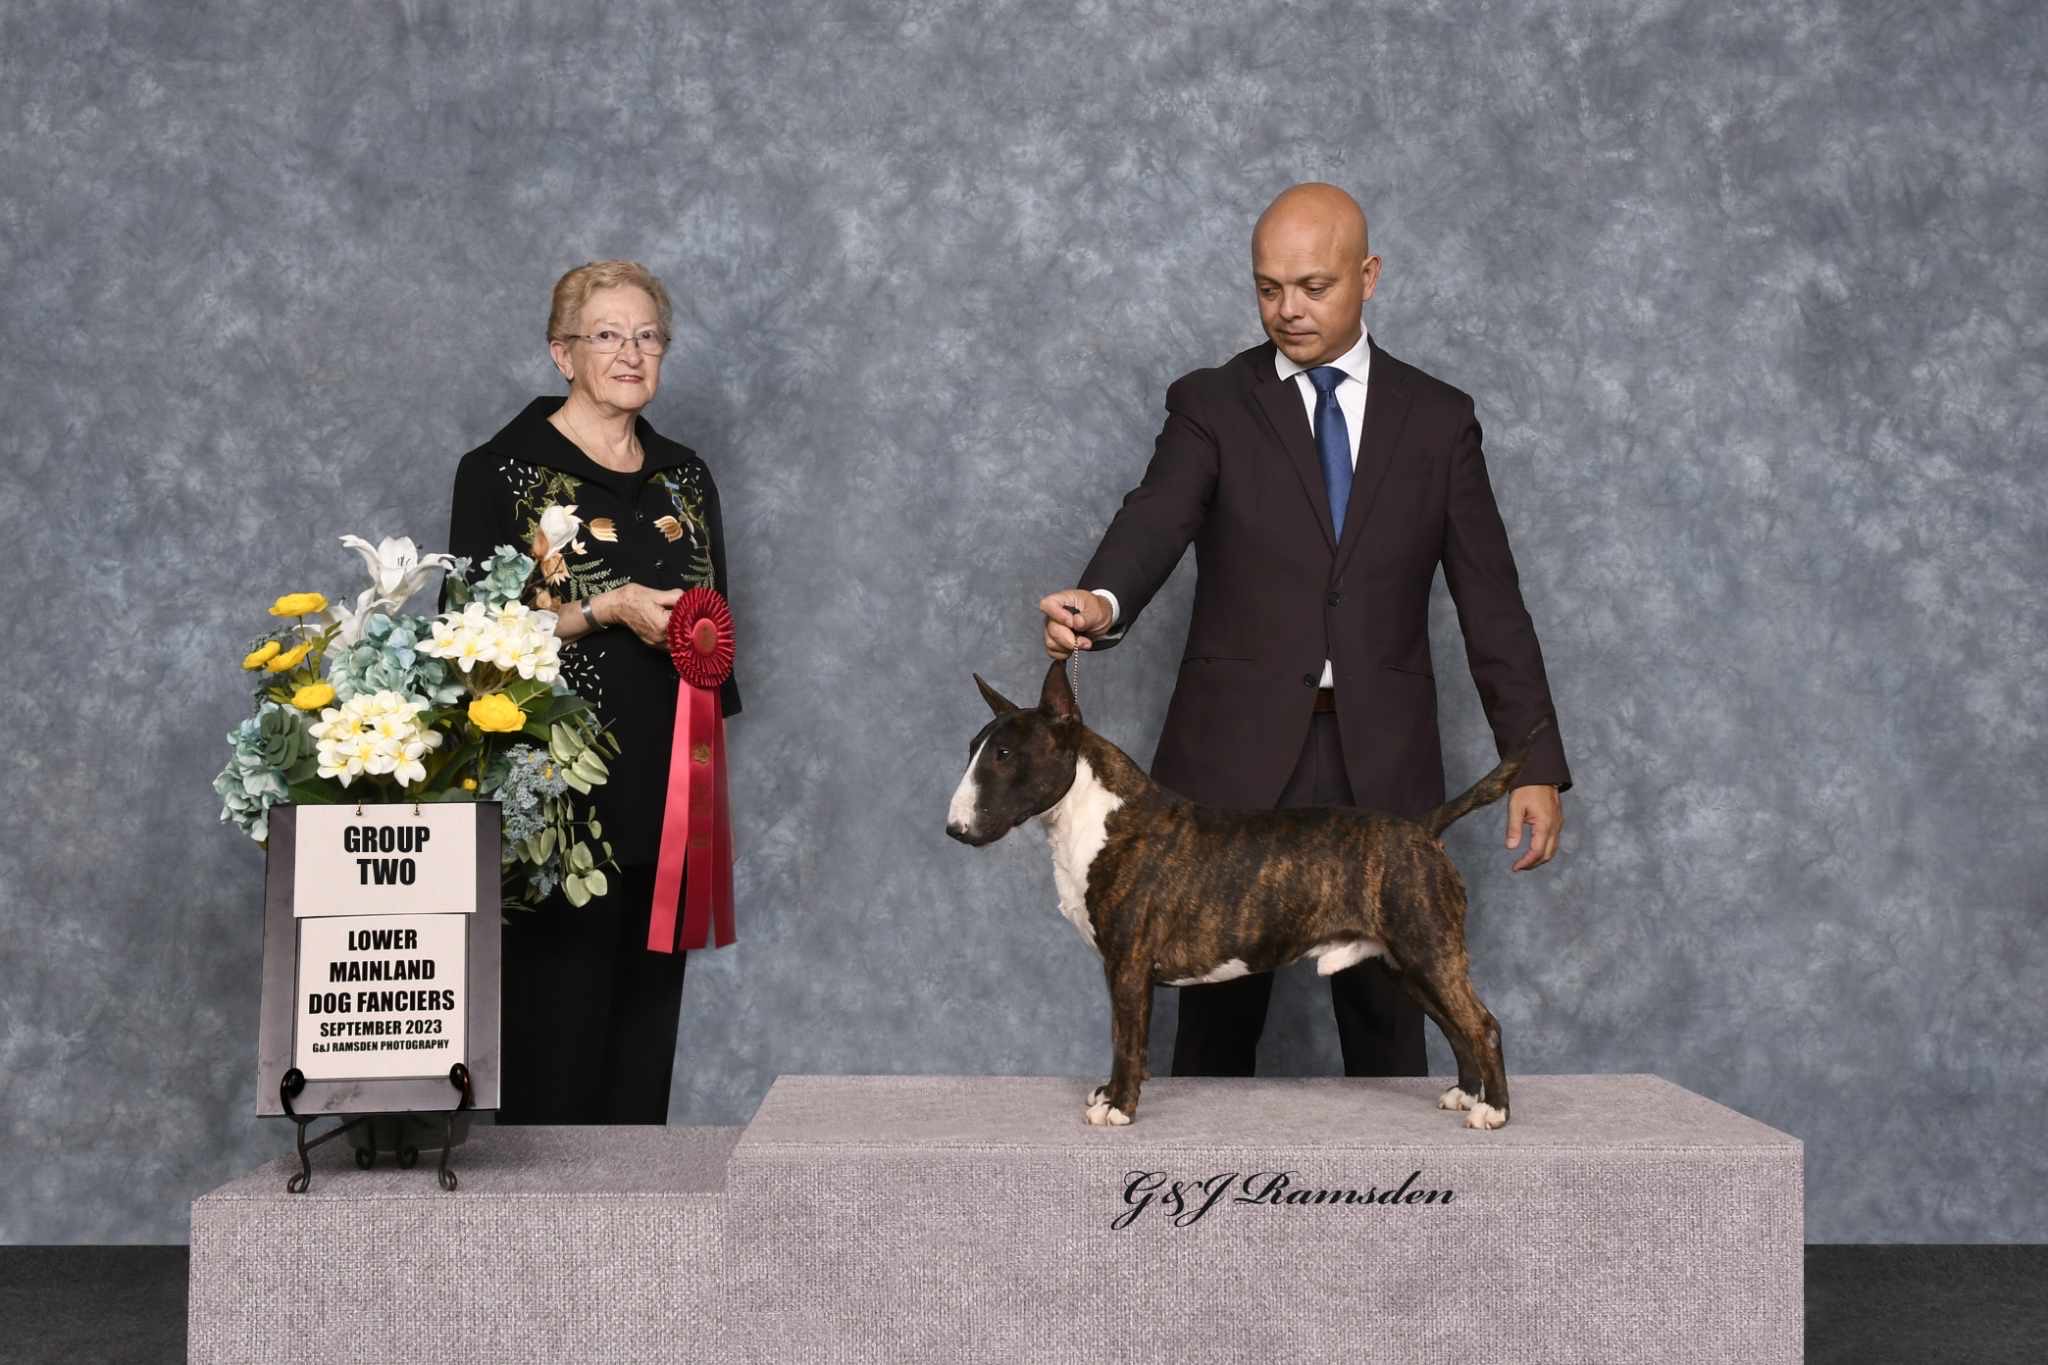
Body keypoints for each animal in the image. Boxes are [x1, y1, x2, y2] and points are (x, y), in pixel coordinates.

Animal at [946, 660, 1548, 1131]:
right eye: (973, 748)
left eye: (1004, 754)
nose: (954, 830)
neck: (1092, 817)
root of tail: (1424, 828)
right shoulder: (1121, 969)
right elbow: (1124, 1035)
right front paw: (1110, 1094)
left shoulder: (1129, 965)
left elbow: (1127, 1038)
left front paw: (1118, 1107)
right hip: (1404, 964)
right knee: (1456, 1026)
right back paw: (1466, 1093)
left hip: (1429, 949)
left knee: (1482, 1025)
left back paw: (1494, 1111)